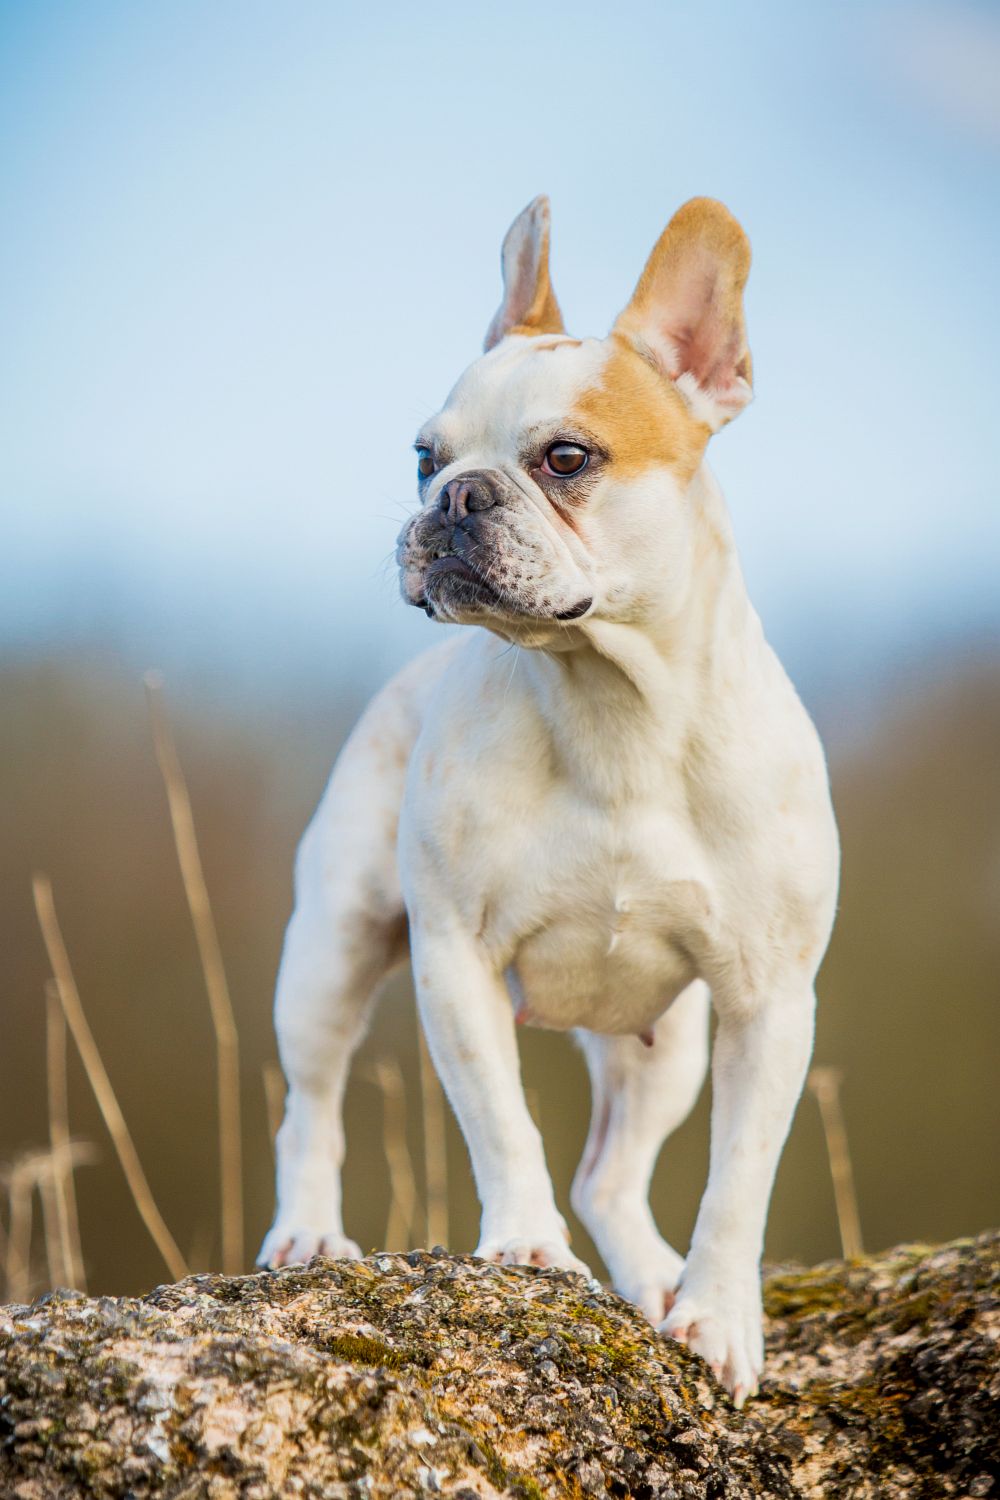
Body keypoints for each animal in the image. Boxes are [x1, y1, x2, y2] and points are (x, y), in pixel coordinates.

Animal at [256, 193, 839, 1398]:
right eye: (422, 454)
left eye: (567, 457)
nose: (455, 494)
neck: (611, 706)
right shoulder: (456, 961)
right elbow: (504, 1126)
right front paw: (525, 1251)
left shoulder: (770, 1003)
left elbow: (738, 1180)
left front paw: (716, 1317)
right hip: (330, 949)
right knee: (311, 1107)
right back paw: (307, 1235)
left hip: (670, 1044)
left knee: (613, 1173)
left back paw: (653, 1280)